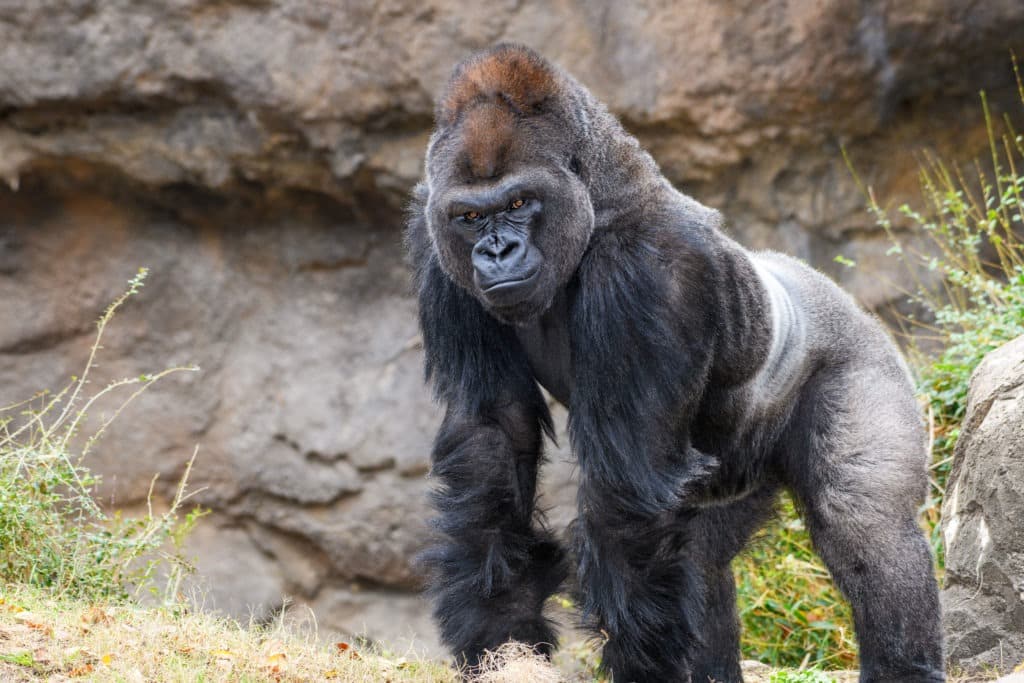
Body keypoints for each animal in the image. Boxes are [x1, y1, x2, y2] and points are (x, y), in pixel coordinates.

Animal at [405, 45, 942, 679]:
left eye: (518, 203)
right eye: (470, 218)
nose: (497, 252)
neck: (598, 197)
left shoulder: (652, 269)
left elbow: (627, 487)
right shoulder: (436, 246)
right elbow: (494, 435)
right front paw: (501, 635)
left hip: (861, 359)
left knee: (864, 526)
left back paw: (903, 662)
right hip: (733, 468)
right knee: (704, 557)